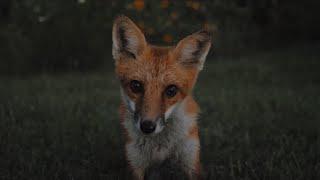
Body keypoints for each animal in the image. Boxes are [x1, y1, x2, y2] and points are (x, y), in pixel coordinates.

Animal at [111, 15, 211, 180]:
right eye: (136, 86)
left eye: (171, 90)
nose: (147, 127)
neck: (160, 147)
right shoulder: (135, 163)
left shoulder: (191, 161)